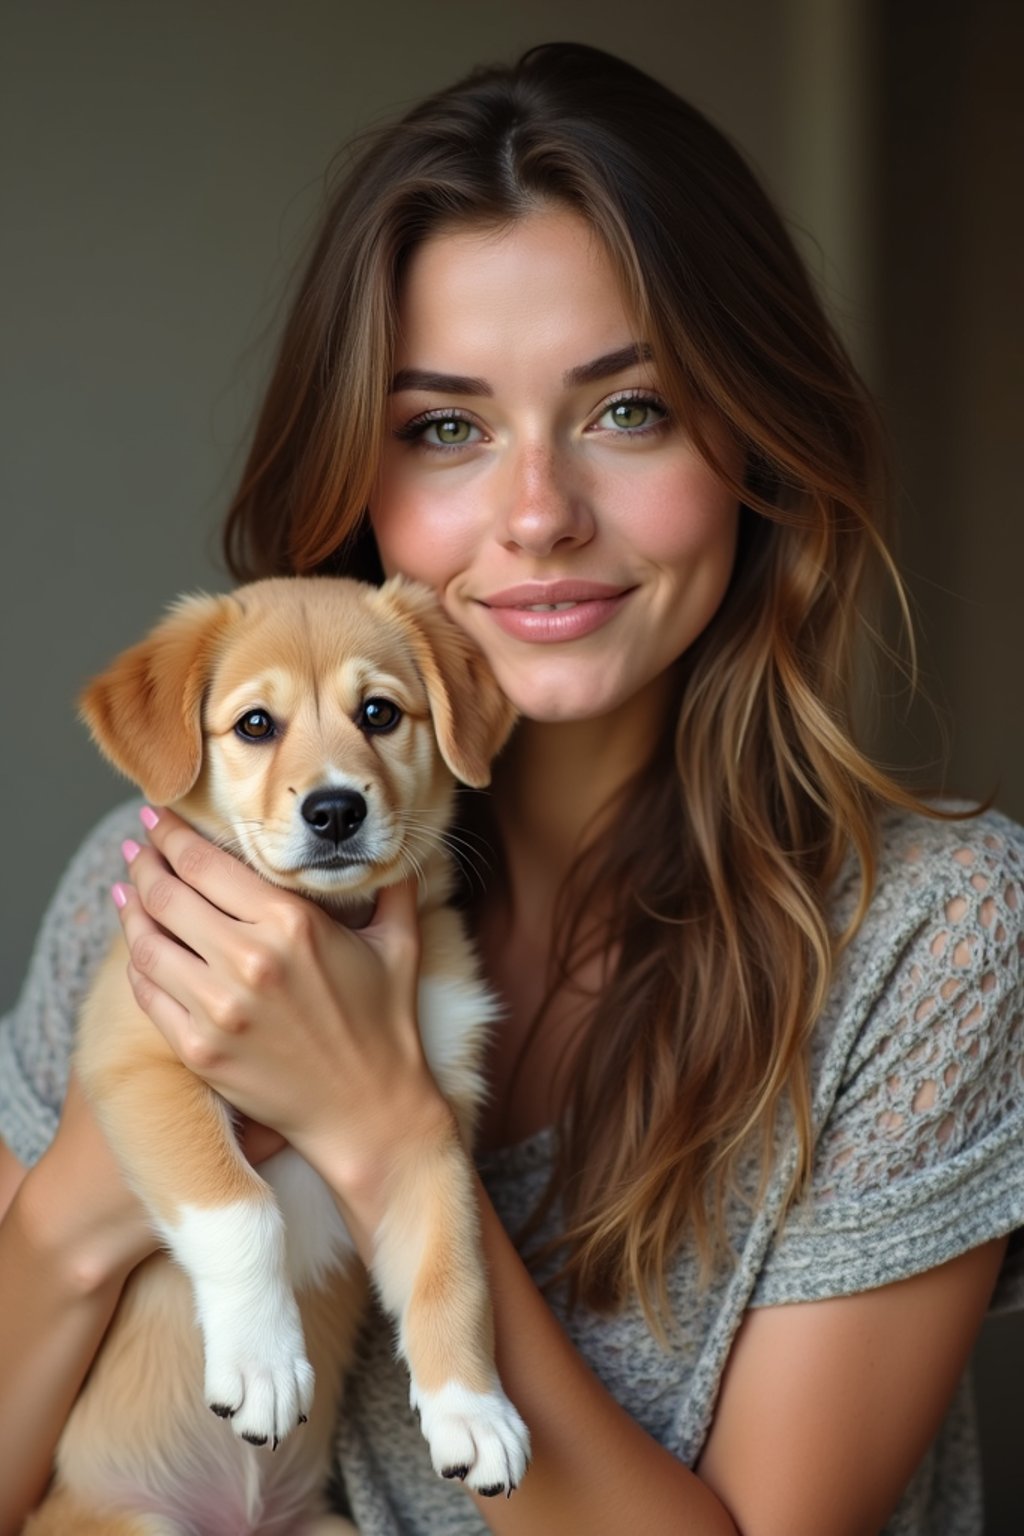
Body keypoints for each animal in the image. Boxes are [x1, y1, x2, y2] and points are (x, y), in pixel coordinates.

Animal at [28, 577, 534, 1536]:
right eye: (256, 724)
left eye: (379, 713)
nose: (335, 810)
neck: (328, 928)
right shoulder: (140, 1062)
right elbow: (240, 1207)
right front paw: (262, 1363)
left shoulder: (422, 1126)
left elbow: (452, 1269)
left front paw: (473, 1411)